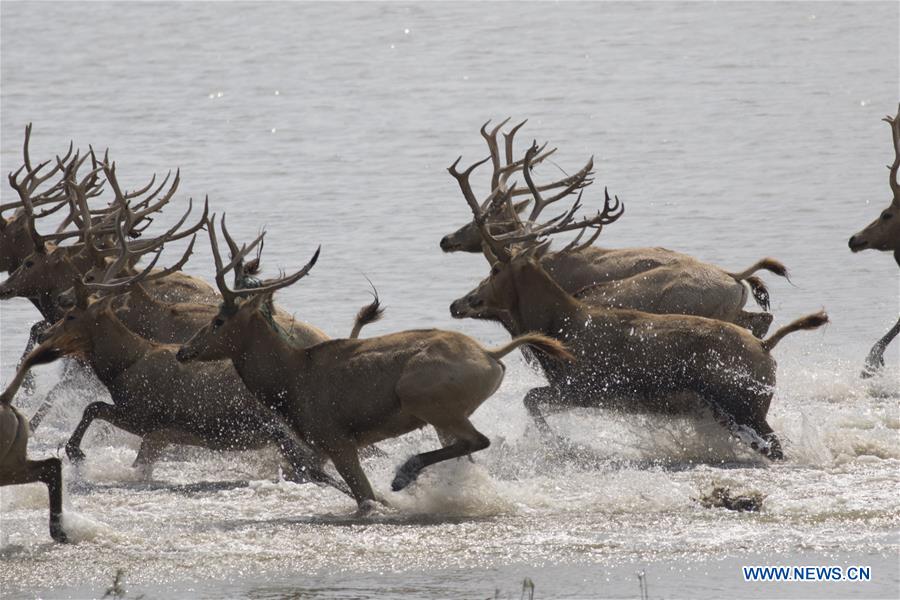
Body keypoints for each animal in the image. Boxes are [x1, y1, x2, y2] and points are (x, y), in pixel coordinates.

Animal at [175, 217, 573, 513]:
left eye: (218, 321)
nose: (183, 351)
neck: (291, 380)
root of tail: (493, 356)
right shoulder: (319, 445)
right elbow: (313, 472)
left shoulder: (337, 438)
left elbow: (363, 497)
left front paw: (387, 496)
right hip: (443, 415)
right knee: (470, 454)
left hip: (423, 399)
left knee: (479, 439)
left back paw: (403, 474)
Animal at [447, 152, 828, 460]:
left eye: (495, 270)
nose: (458, 303)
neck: (557, 326)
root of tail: (766, 348)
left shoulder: (584, 387)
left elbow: (530, 401)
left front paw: (560, 445)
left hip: (744, 406)